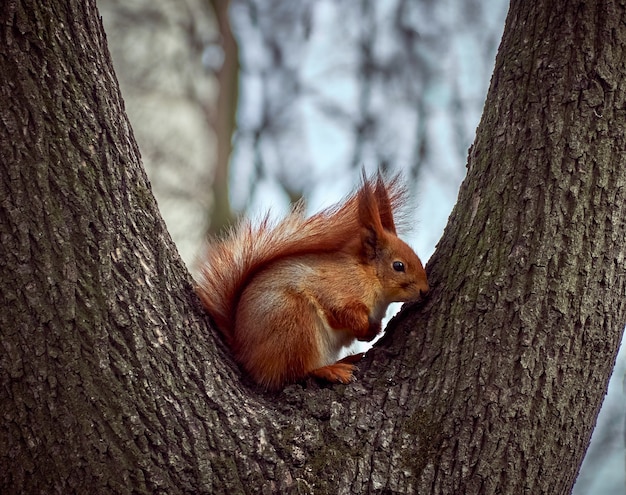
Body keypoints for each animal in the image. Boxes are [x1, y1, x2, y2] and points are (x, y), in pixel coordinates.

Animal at [196, 174, 428, 392]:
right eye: (398, 266)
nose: (425, 291)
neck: (368, 276)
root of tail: (244, 355)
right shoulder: (336, 289)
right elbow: (343, 312)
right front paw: (363, 327)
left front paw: (373, 331)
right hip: (295, 323)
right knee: (296, 372)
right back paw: (329, 369)